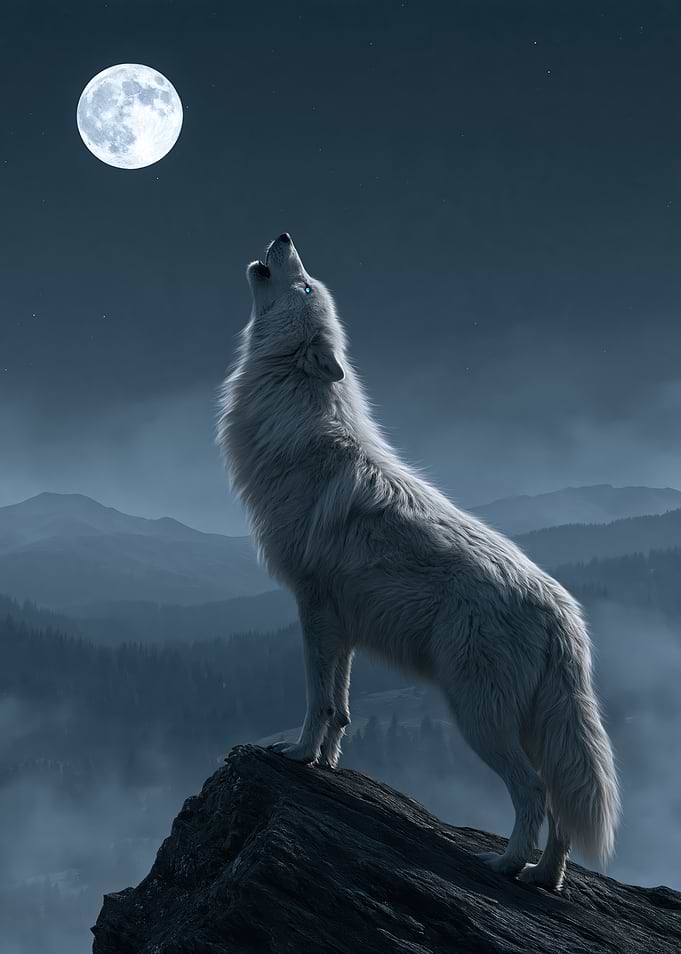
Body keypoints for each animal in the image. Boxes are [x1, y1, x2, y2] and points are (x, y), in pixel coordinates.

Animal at [217, 232, 620, 890]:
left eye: (305, 284)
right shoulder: (341, 624)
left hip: (477, 716)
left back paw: (505, 864)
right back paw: (544, 878)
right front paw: (327, 763)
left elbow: (317, 699)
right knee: (560, 802)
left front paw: (298, 757)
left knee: (534, 793)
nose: (284, 235)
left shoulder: (312, 603)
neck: (299, 420)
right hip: (532, 725)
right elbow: (343, 708)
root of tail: (564, 618)